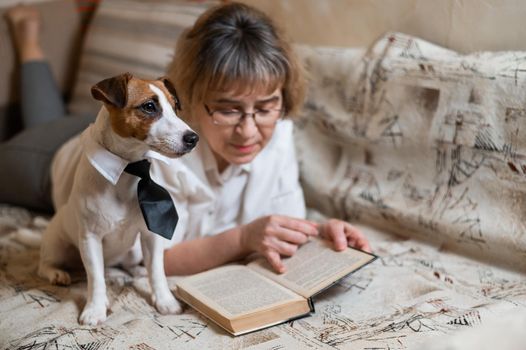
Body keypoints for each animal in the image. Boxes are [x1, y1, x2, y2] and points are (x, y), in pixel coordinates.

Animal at [37, 73, 198, 326]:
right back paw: (57, 273)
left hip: (134, 250)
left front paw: (165, 300)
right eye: (149, 106)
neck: (129, 170)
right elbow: (95, 278)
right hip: (58, 244)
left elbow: (157, 271)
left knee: (129, 266)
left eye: (175, 107)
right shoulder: (91, 239)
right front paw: (94, 309)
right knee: (46, 265)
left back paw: (136, 271)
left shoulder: (150, 237)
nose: (193, 138)